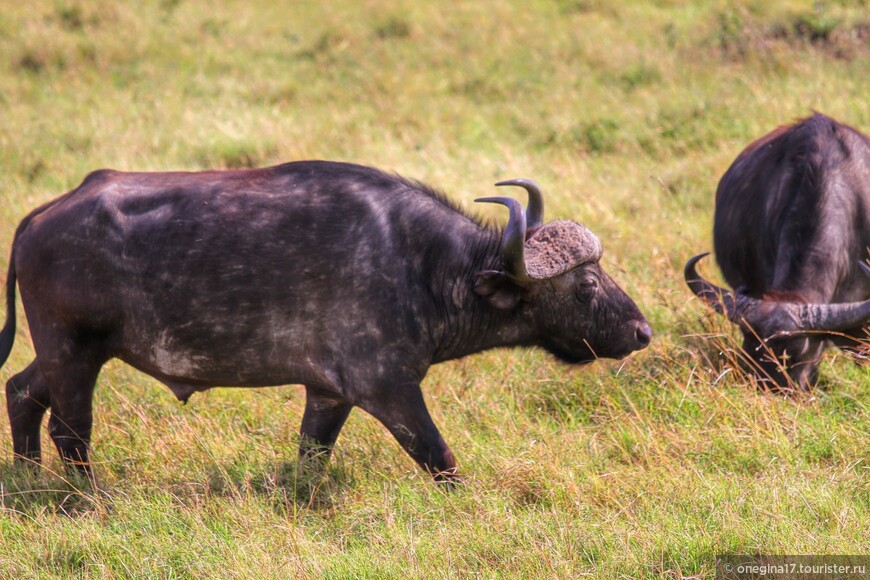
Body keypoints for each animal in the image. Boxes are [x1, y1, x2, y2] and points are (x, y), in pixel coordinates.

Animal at [1, 161, 656, 482]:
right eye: (586, 284)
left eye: (601, 269)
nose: (643, 332)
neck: (422, 265)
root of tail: (42, 215)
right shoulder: (387, 389)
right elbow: (440, 457)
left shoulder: (327, 393)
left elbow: (311, 456)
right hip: (75, 351)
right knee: (71, 431)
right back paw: (86, 499)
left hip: (65, 353)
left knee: (21, 391)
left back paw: (28, 479)